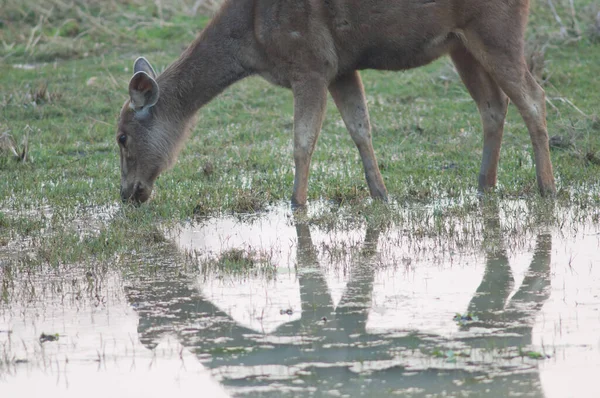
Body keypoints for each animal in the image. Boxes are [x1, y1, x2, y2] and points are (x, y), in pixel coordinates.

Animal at [117, 0, 556, 205]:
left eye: (121, 137)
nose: (128, 193)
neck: (252, 38)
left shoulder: (310, 63)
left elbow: (302, 142)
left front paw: (296, 204)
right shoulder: (341, 68)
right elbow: (360, 129)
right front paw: (381, 194)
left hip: (496, 28)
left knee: (533, 97)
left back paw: (547, 187)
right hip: (460, 43)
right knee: (493, 105)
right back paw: (484, 184)